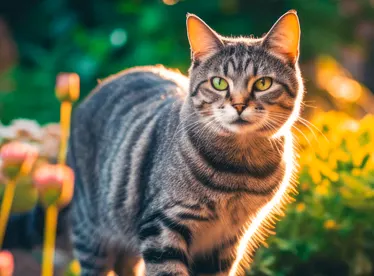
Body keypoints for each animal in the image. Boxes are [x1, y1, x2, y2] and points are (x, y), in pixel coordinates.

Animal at [67, 10, 304, 276]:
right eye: (219, 83)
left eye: (263, 83)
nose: (239, 105)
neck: (239, 172)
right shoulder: (162, 228)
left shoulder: (226, 241)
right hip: (91, 236)